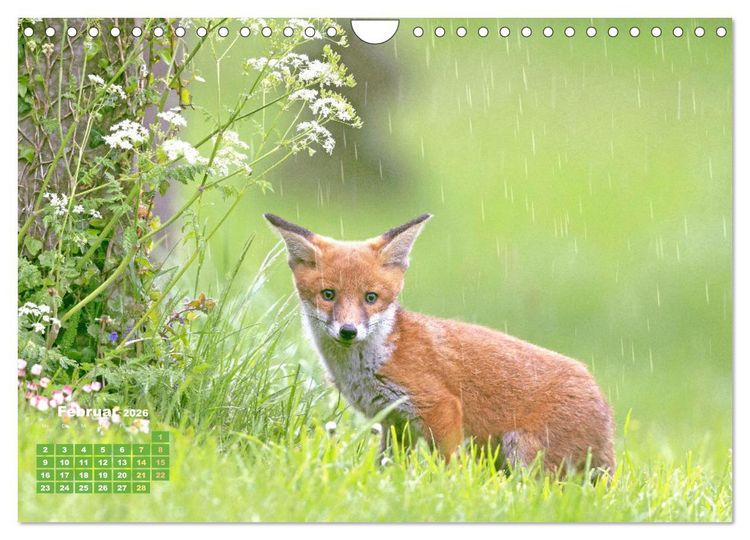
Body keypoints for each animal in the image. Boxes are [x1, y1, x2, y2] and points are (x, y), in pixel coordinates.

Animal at [265, 212, 615, 475]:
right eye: (328, 295)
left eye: (371, 298)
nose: (348, 331)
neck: (372, 362)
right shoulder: (395, 422)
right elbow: (387, 466)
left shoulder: (440, 407)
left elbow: (449, 467)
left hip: (524, 454)